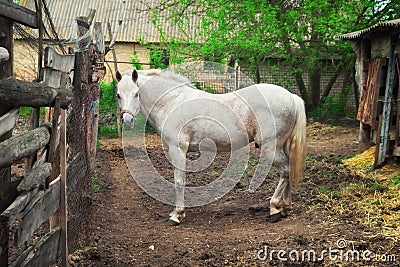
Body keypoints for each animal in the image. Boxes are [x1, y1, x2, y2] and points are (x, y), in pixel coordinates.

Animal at [115, 69, 306, 226]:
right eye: (118, 95)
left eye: (136, 94)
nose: (127, 121)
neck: (173, 102)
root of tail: (291, 96)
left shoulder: (179, 150)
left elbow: (179, 182)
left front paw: (176, 215)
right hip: (281, 147)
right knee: (288, 169)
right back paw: (285, 208)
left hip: (271, 148)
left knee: (285, 171)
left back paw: (274, 208)